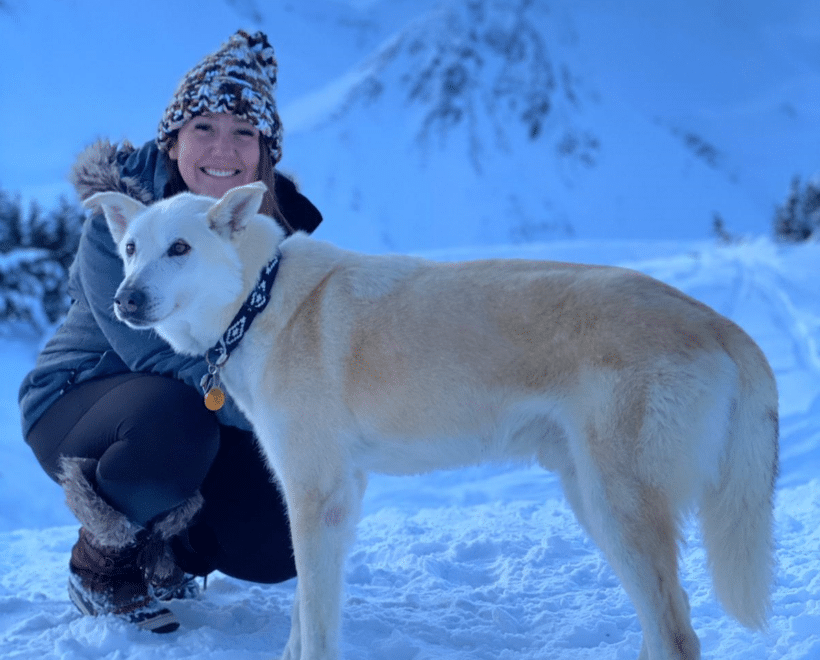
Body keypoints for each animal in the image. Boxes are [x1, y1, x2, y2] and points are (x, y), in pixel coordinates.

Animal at [86, 182, 780, 660]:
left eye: (180, 249)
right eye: (130, 250)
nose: (125, 298)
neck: (258, 300)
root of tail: (717, 321)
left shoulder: (317, 499)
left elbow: (316, 626)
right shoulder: (333, 497)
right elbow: (304, 618)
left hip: (619, 506)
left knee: (678, 636)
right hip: (594, 502)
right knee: (663, 627)